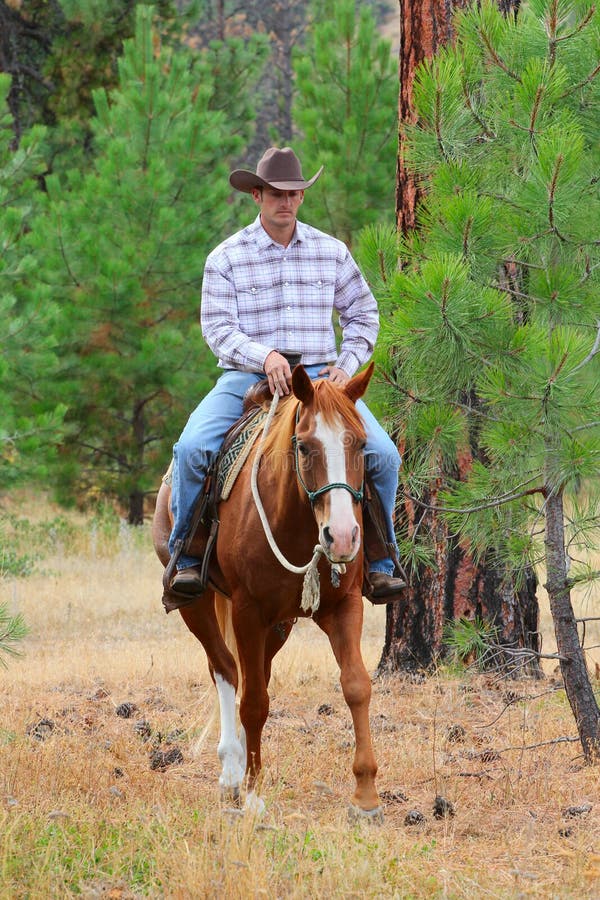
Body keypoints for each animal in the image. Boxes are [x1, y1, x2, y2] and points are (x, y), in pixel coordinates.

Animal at [152, 362, 382, 820]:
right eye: (305, 446)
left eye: (362, 444)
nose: (342, 537)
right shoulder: (247, 611)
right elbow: (255, 700)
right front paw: (254, 792)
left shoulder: (344, 606)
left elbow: (356, 686)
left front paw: (365, 796)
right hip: (198, 606)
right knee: (226, 669)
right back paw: (230, 772)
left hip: (280, 624)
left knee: (253, 671)